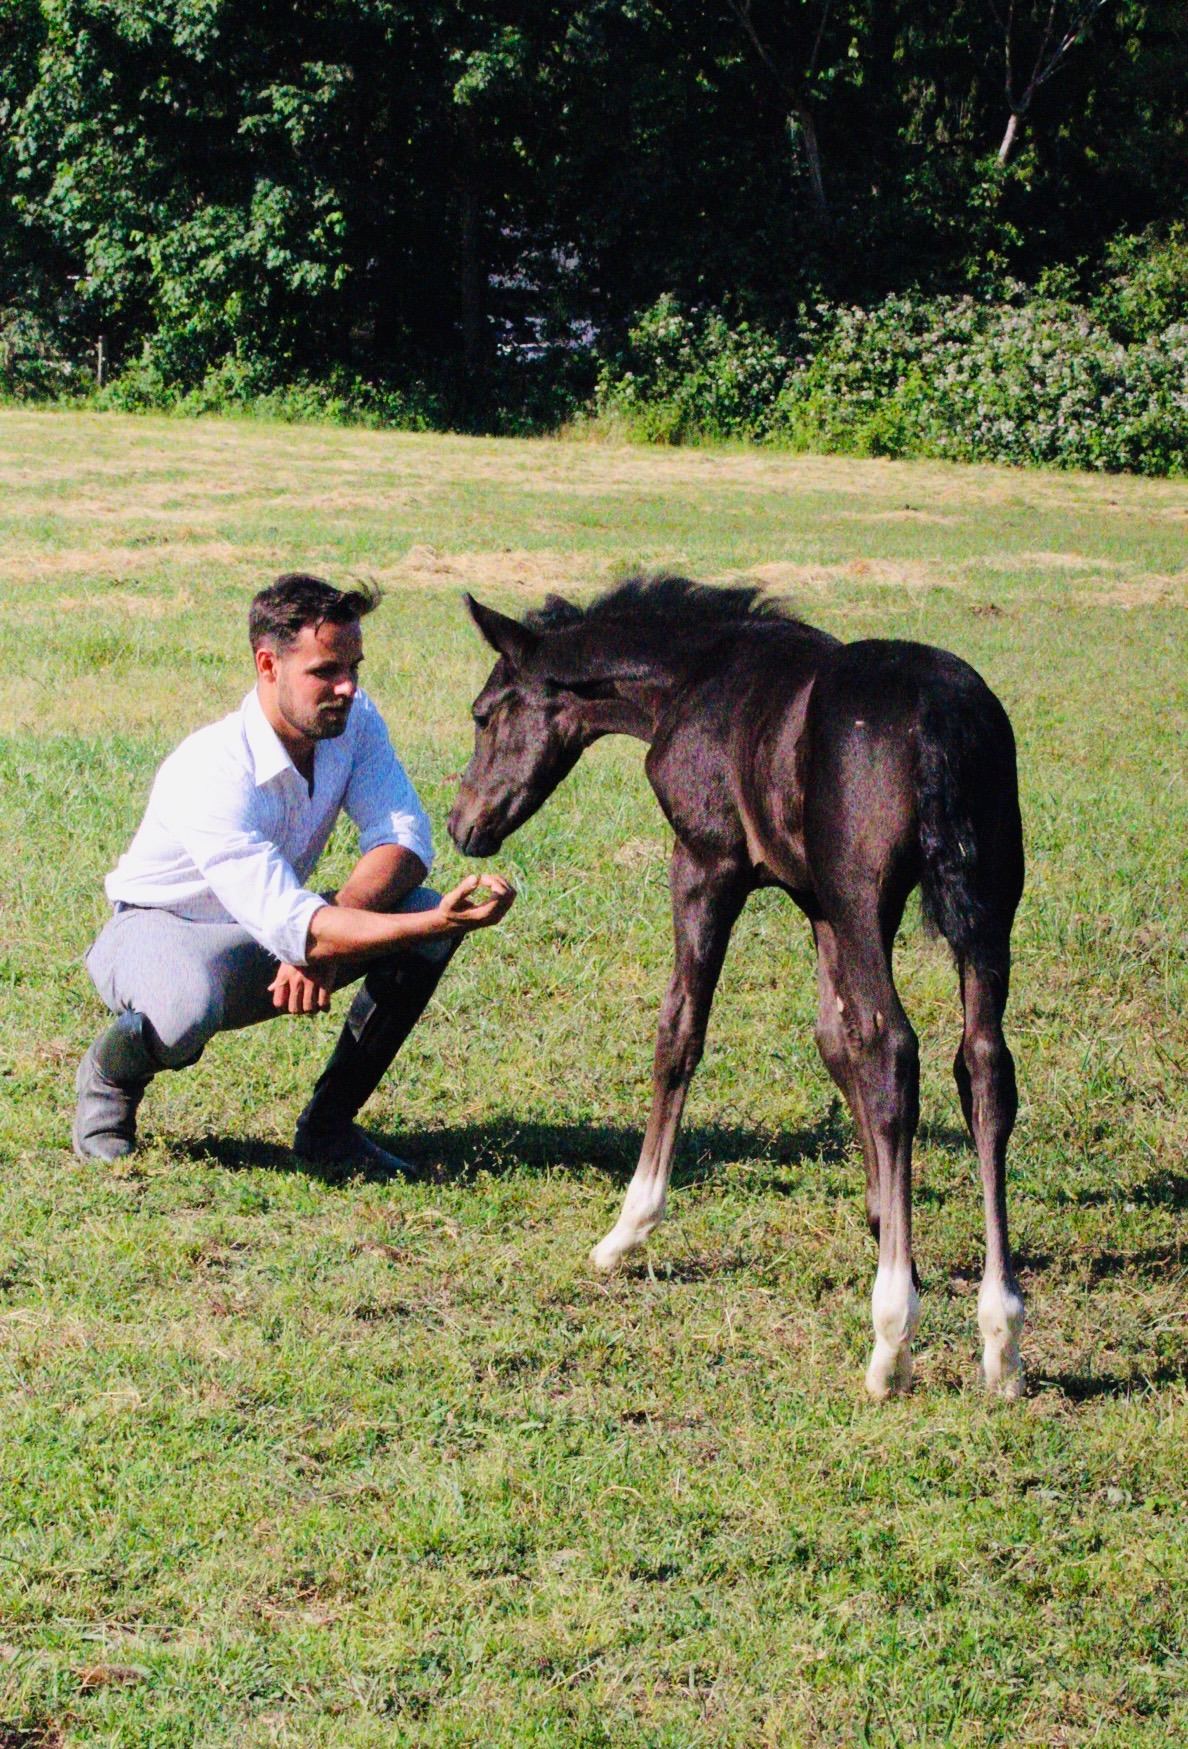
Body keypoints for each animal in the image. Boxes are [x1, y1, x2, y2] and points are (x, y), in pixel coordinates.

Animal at [447, 577, 1026, 1400]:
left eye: (484, 713)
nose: (463, 825)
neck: (693, 679)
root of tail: (938, 715)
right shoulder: (816, 900)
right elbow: (835, 1039)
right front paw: (886, 1223)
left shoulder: (707, 863)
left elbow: (681, 1028)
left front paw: (627, 1229)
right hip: (984, 909)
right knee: (982, 1066)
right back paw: (1001, 1337)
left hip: (867, 899)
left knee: (896, 1053)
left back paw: (891, 1341)